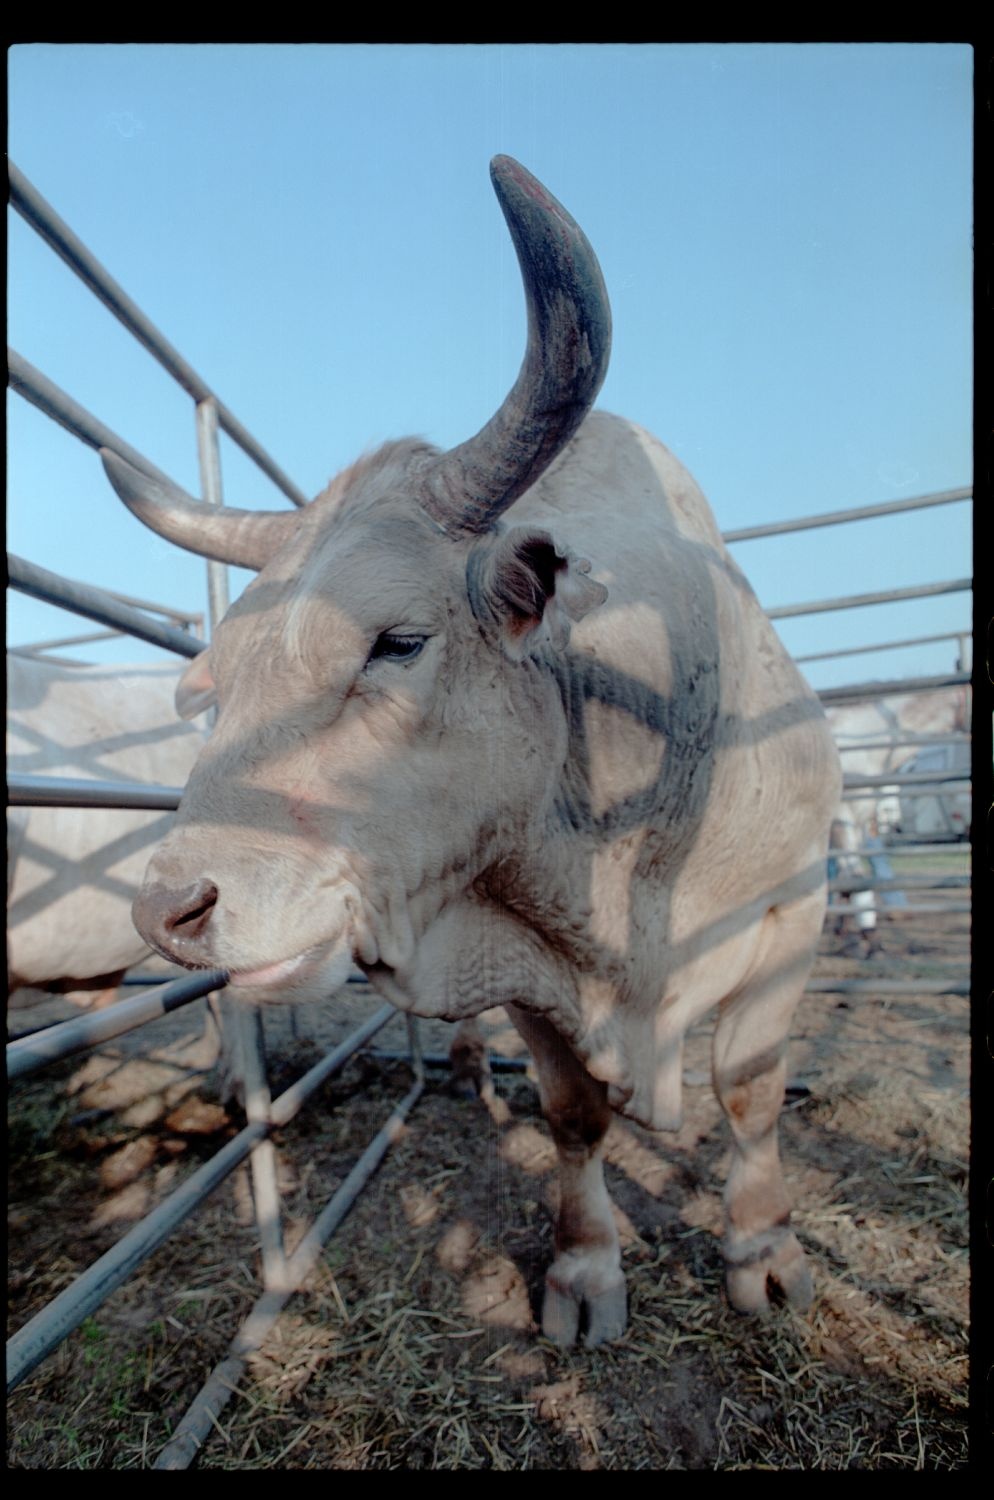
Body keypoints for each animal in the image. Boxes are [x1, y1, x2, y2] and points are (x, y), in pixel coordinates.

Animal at [98, 158, 839, 1344]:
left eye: (397, 642)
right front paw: (584, 1270)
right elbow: (574, 1113)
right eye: (212, 686)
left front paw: (763, 1252)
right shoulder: (526, 962)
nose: (170, 910)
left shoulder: (792, 909)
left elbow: (751, 1089)